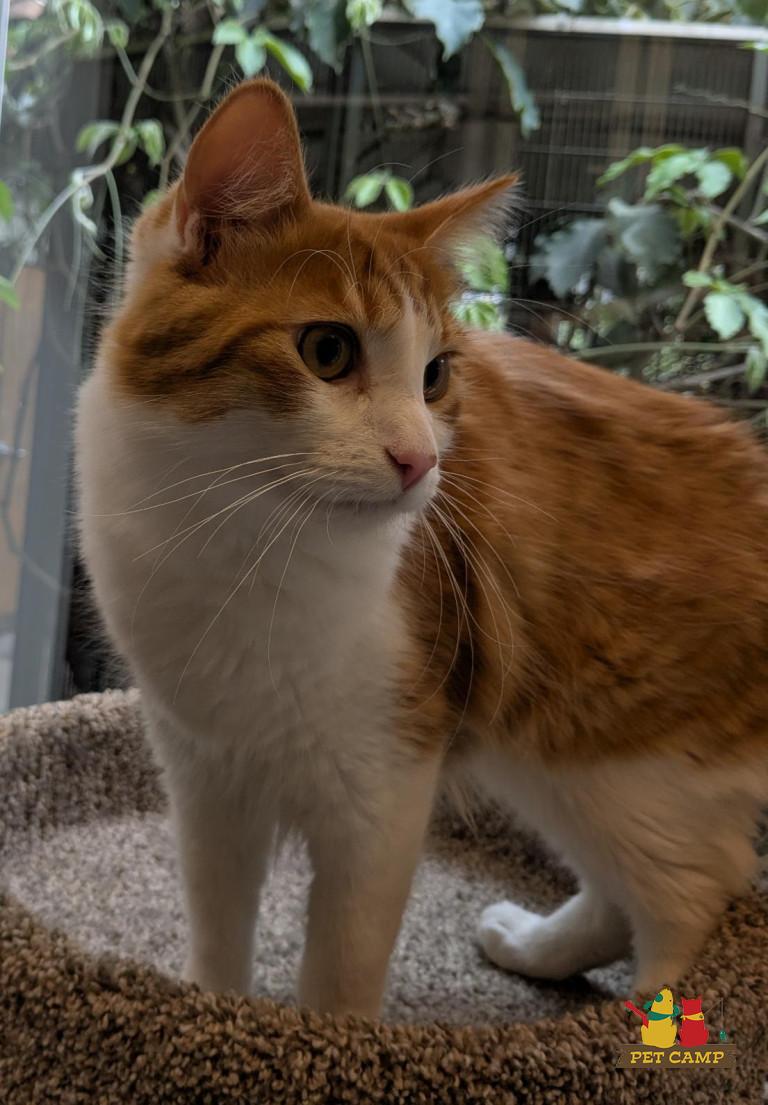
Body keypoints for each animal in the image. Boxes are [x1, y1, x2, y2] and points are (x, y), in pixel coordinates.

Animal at [75, 78, 768, 1018]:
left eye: (435, 375)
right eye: (327, 350)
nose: (421, 461)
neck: (237, 536)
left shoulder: (383, 783)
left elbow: (339, 972)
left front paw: (321, 1038)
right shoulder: (207, 774)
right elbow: (219, 932)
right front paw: (212, 1012)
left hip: (621, 763)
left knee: (694, 895)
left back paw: (640, 1020)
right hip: (562, 764)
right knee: (637, 890)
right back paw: (536, 946)